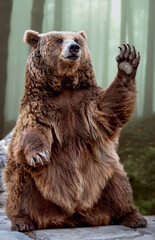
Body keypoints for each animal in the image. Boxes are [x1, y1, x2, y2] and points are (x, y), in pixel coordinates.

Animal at [3, 29, 147, 232]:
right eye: (58, 39)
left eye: (77, 39)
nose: (74, 48)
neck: (64, 87)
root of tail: (73, 216)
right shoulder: (39, 107)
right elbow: (32, 131)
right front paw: (38, 155)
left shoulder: (86, 103)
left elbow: (110, 107)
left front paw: (127, 61)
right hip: (32, 180)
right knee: (19, 188)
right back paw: (22, 221)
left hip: (104, 176)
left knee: (120, 186)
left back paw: (133, 217)